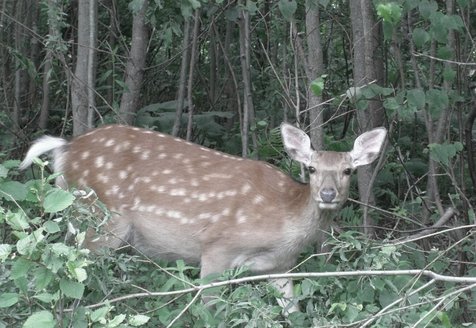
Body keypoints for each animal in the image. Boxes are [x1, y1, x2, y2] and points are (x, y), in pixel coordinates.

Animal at [20, 123, 388, 312]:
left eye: (348, 170)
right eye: (311, 168)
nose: (327, 194)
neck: (284, 220)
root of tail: (65, 149)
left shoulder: (280, 266)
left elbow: (292, 311)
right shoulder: (217, 247)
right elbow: (210, 309)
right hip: (101, 220)